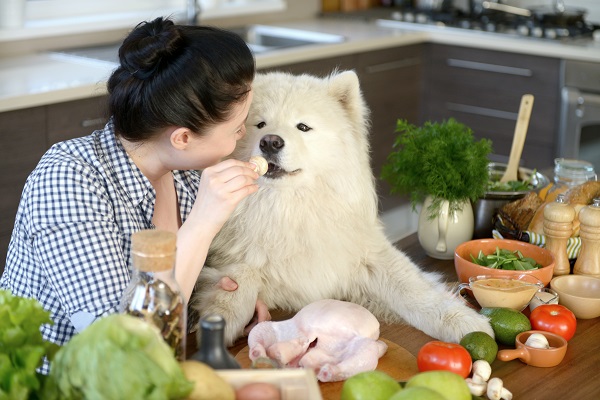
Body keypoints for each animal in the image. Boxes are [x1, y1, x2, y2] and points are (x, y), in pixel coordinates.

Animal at [191, 70, 492, 346]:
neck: (292, 210)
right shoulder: (236, 256)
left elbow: (417, 292)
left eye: (303, 127)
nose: (270, 141)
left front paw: (467, 322)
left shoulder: (371, 255)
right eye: (260, 124)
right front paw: (222, 317)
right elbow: (241, 274)